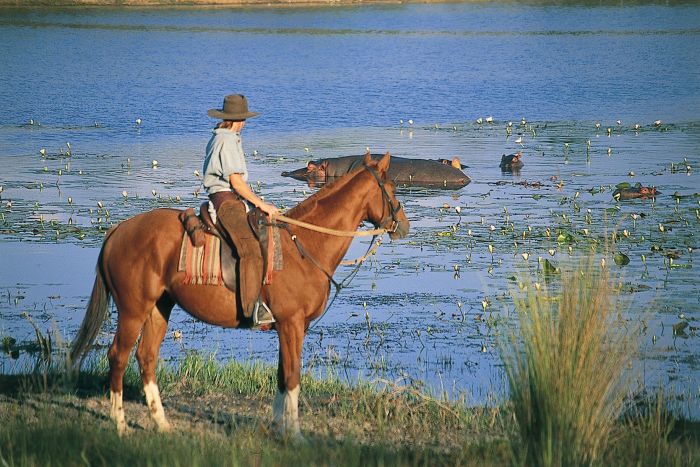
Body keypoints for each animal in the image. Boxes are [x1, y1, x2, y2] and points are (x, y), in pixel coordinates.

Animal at [69, 153, 410, 438]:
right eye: (391, 187)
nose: (403, 225)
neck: (304, 243)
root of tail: (118, 230)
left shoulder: (287, 327)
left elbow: (281, 376)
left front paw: (277, 429)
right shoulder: (292, 324)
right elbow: (293, 377)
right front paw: (295, 435)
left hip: (158, 308)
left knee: (146, 357)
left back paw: (162, 424)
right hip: (133, 310)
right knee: (118, 356)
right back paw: (121, 425)